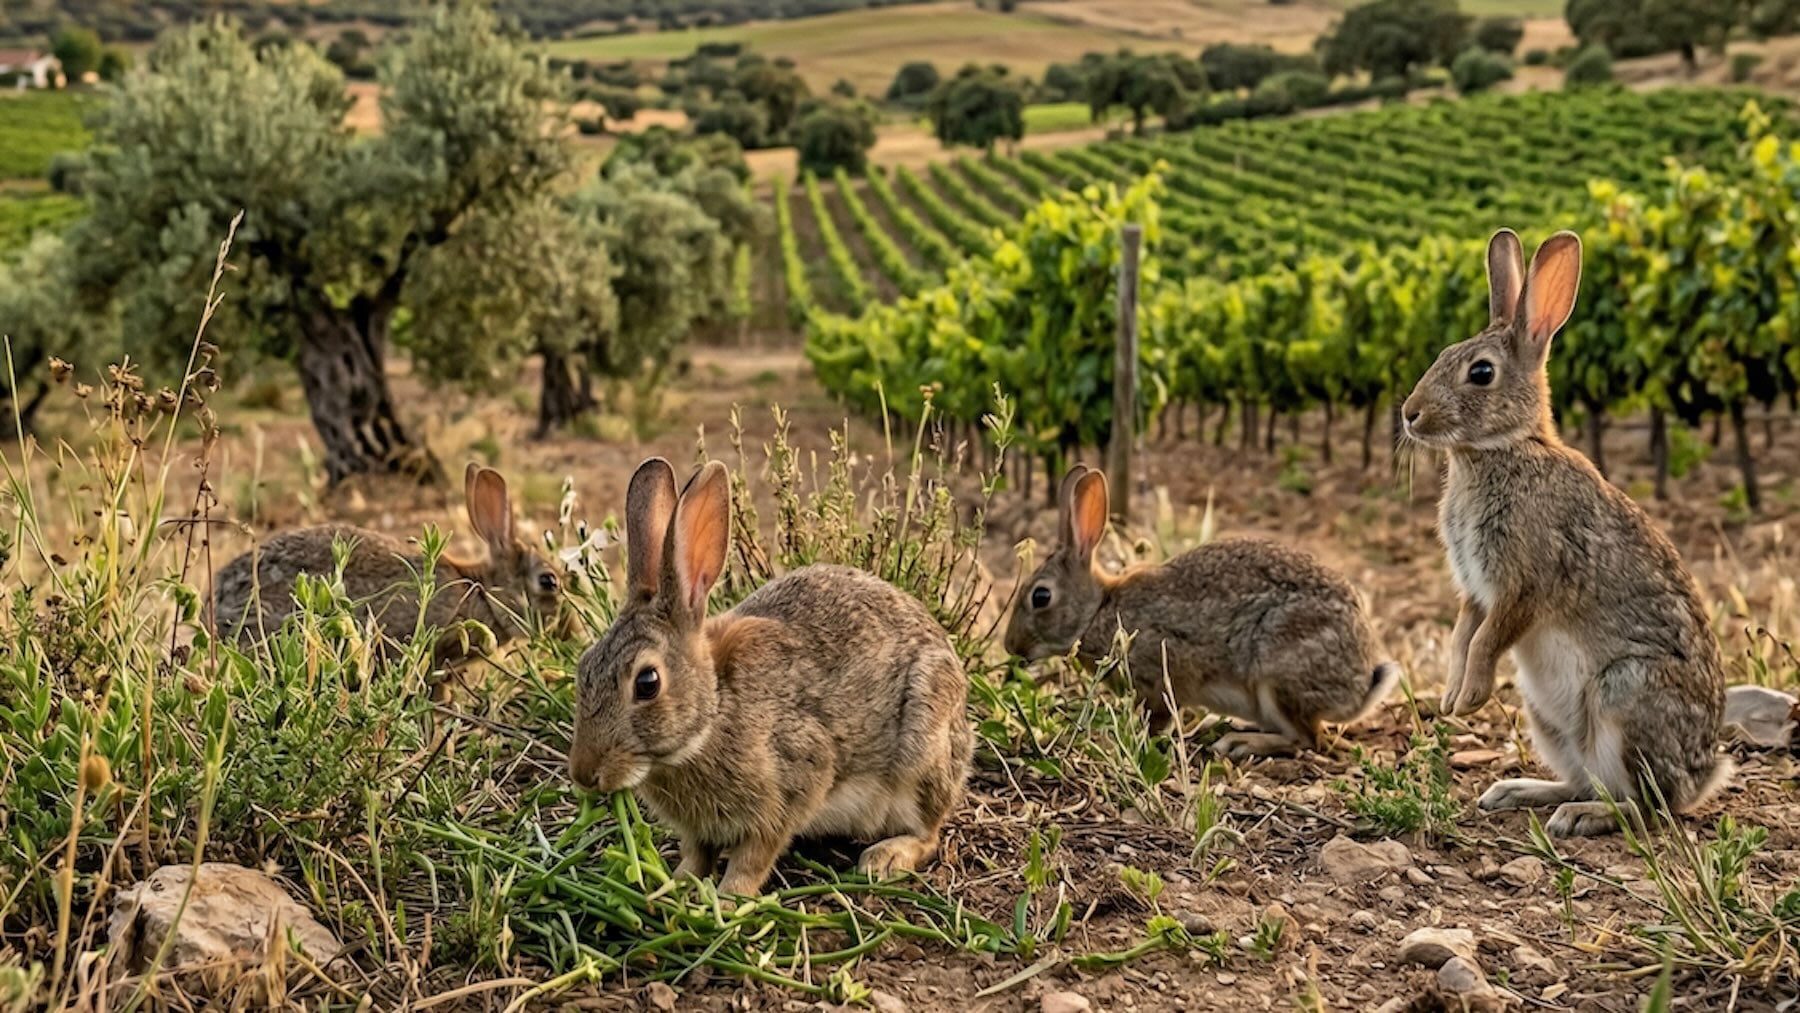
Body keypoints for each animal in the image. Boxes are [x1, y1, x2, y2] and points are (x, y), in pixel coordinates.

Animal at [567, 458, 972, 897]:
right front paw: (679, 883)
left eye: (647, 683)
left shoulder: (794, 784)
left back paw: (885, 858)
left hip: (922, 749)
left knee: (929, 832)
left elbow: (755, 855)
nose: (583, 774)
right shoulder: (699, 830)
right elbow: (697, 854)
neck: (714, 710)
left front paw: (729, 898)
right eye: (584, 667)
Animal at [1003, 465, 1399, 760]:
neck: (1100, 609)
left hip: (1277, 674)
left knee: (1306, 739)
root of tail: (1360, 686)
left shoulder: (1162, 675)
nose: (1011, 646)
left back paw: (1238, 742)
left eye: (1040, 597)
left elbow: (1157, 717)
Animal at [1400, 228, 1730, 837]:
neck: (1502, 449)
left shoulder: (1524, 582)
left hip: (1622, 698)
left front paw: (1471, 696)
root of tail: (1703, 774)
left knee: (1645, 806)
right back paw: (1515, 791)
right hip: (1547, 718)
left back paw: (1581, 817)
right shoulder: (1475, 589)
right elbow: (1463, 635)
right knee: (1586, 779)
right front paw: (1453, 697)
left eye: (1480, 372)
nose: (1410, 414)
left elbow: (1488, 638)